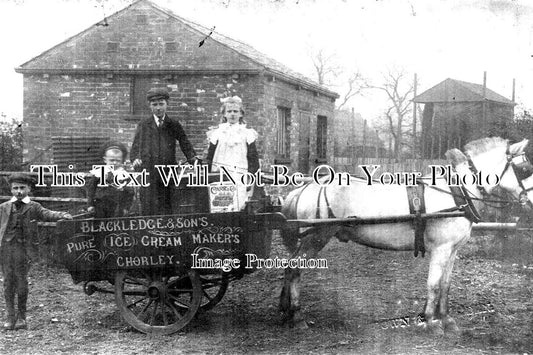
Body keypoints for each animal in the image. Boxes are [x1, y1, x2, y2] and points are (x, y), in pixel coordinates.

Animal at [278, 138, 532, 336]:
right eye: (525, 169)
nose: (530, 203)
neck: (457, 192)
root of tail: (306, 187)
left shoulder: (452, 250)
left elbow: (446, 285)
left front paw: (447, 320)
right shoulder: (440, 249)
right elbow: (434, 284)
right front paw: (431, 322)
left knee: (290, 266)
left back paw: (285, 311)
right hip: (316, 238)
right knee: (295, 267)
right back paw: (297, 317)